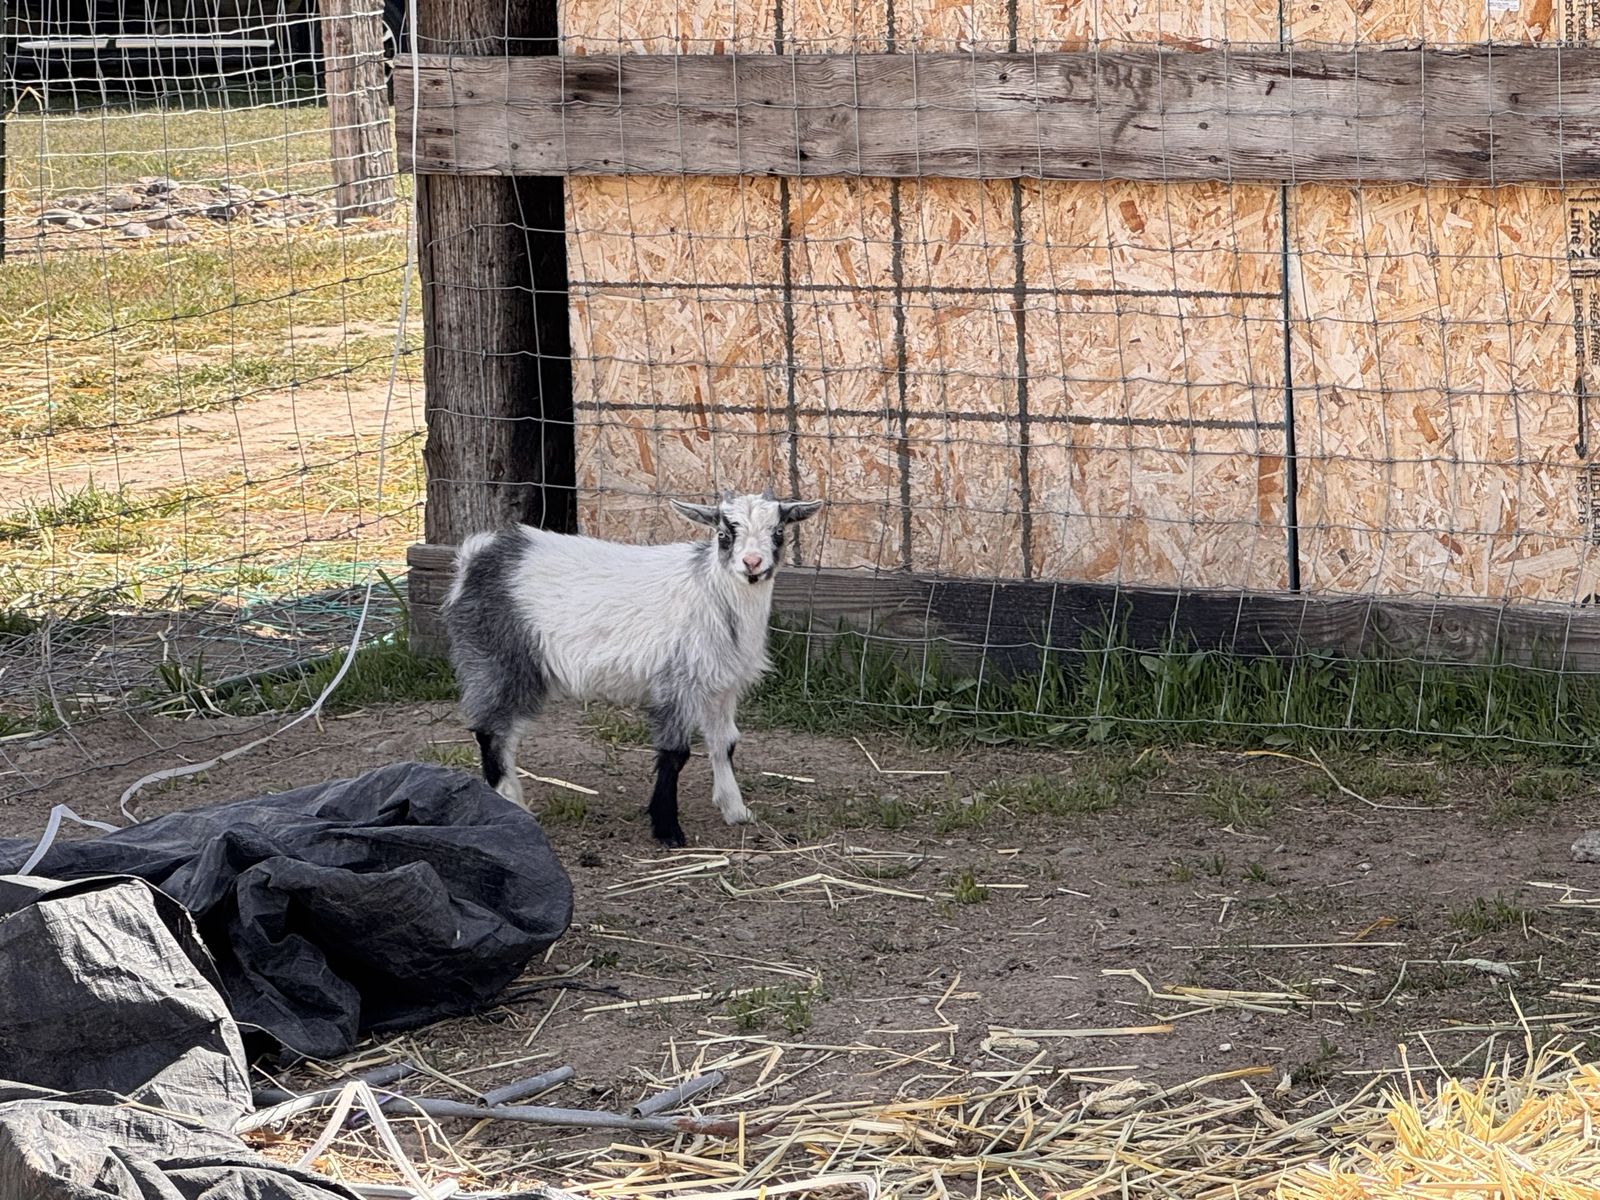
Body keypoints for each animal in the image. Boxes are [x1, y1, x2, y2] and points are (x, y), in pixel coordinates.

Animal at [441, 490, 823, 846]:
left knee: (503, 734)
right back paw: (510, 804)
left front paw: (736, 810)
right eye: (723, 534)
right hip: (499, 660)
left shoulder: (720, 686)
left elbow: (725, 743)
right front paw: (667, 829)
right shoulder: (676, 683)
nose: (752, 562)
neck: (714, 593)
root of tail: (476, 556)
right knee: (492, 731)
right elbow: (675, 754)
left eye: (778, 531)